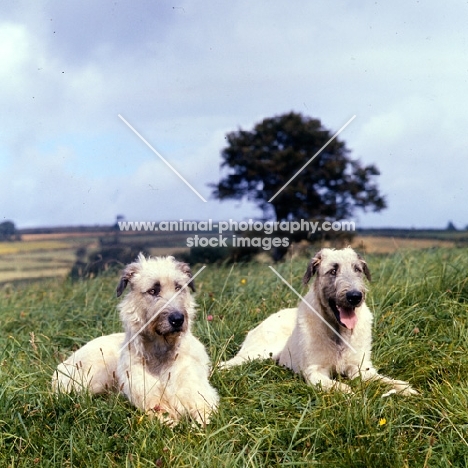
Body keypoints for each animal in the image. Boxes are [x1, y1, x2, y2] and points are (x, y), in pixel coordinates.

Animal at [53, 254, 219, 426]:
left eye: (178, 287)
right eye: (153, 290)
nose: (178, 319)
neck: (161, 352)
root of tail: (61, 367)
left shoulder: (198, 393)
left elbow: (204, 414)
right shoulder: (148, 396)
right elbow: (162, 416)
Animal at [221, 247, 418, 396]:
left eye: (357, 270)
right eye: (333, 271)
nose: (355, 296)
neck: (338, 331)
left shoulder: (361, 367)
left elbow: (382, 379)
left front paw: (403, 387)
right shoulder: (314, 371)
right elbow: (338, 386)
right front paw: (351, 395)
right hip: (257, 353)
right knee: (225, 364)